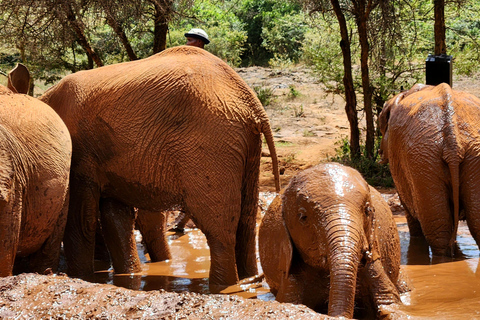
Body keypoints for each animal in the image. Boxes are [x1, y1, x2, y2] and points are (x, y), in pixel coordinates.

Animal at [41, 45, 284, 292]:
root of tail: (252, 104)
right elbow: (114, 216)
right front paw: (129, 276)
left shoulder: (81, 153)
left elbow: (81, 218)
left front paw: (81, 276)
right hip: (246, 147)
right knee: (246, 221)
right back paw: (248, 281)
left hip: (212, 143)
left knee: (219, 227)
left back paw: (223, 288)